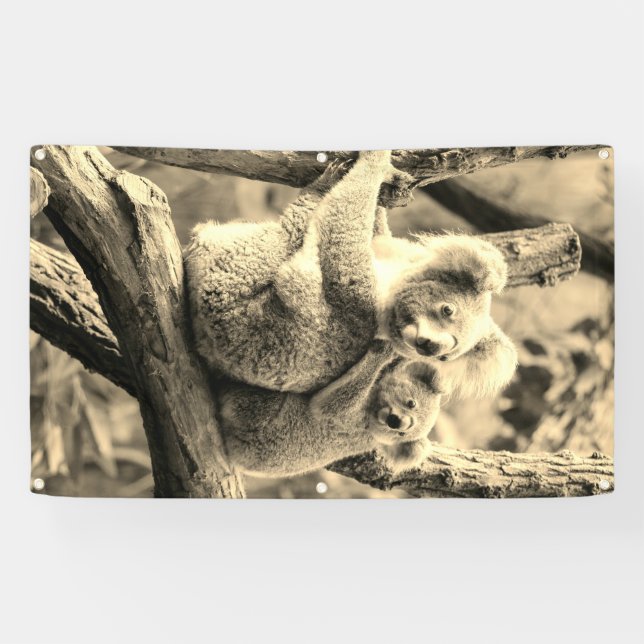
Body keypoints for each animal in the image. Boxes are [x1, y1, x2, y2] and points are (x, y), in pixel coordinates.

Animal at [184, 149, 517, 396]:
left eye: (446, 357)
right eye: (448, 310)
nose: (429, 347)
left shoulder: (356, 297)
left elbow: (340, 231)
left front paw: (376, 158)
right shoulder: (388, 246)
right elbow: (376, 225)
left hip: (234, 269)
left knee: (291, 228)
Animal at [217, 341, 443, 477]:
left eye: (402, 434)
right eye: (412, 403)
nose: (396, 422)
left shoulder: (346, 417)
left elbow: (328, 405)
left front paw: (385, 350)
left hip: (256, 411)